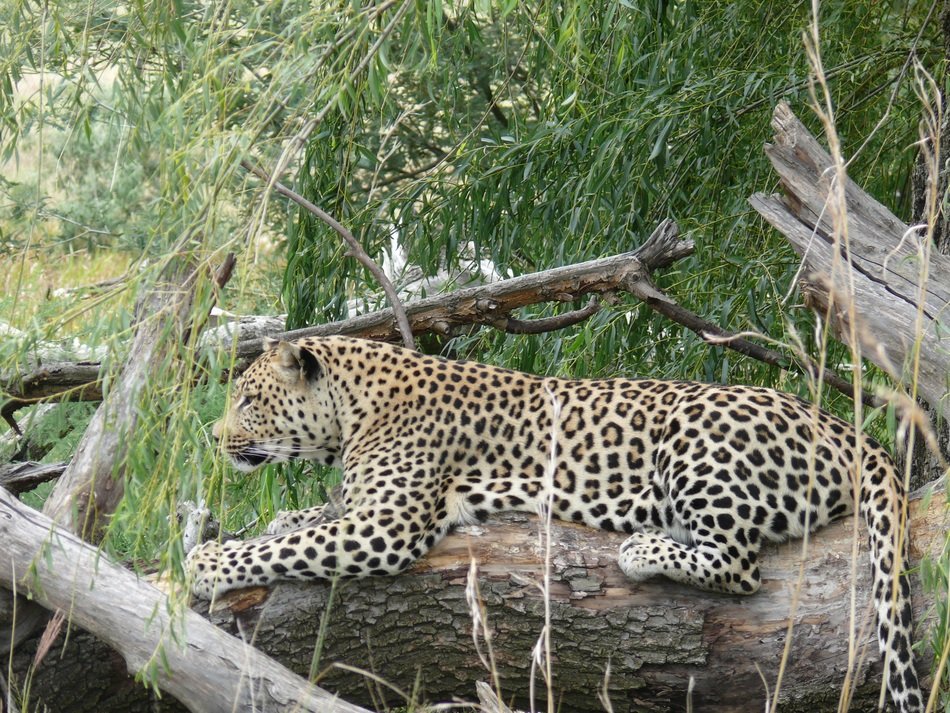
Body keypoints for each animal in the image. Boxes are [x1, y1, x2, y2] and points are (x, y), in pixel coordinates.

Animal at [187, 335, 921, 712]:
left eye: (248, 399)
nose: (213, 439)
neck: (351, 414)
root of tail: (850, 431)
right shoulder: (361, 504)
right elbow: (300, 520)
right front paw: (265, 520)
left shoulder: (388, 524)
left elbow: (292, 546)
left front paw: (206, 564)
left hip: (694, 434)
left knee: (740, 564)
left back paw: (644, 546)